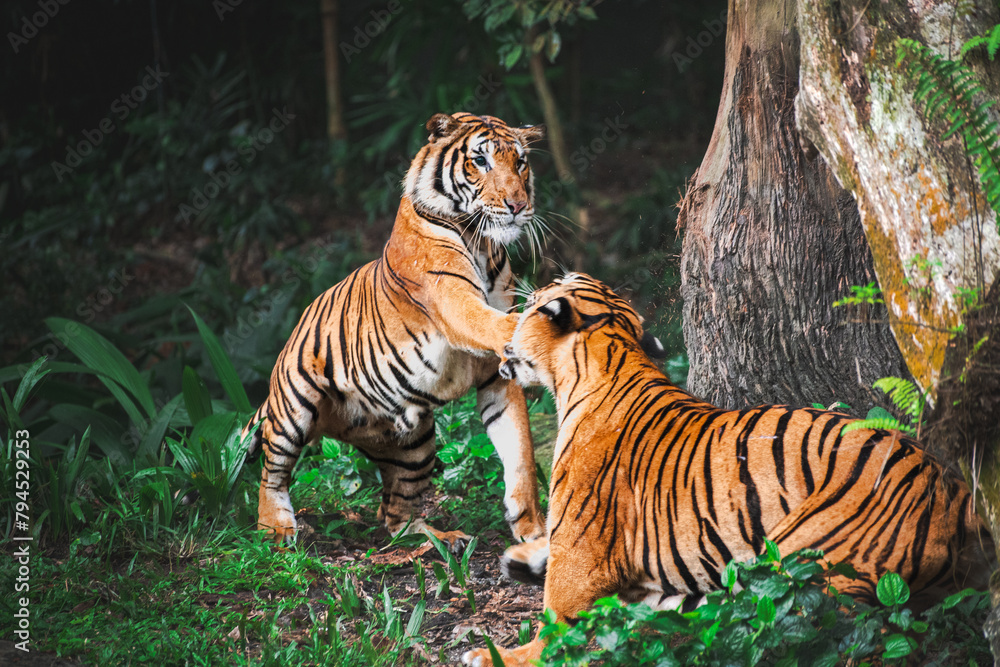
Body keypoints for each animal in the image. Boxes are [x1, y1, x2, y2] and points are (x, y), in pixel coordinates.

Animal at [246, 112, 548, 550]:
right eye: (480, 161)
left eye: (520, 163)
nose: (517, 205)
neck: (482, 243)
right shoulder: (452, 300)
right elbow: (488, 321)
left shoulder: (496, 378)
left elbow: (520, 452)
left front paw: (533, 531)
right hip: (294, 406)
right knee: (272, 471)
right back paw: (277, 530)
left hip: (415, 446)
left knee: (394, 517)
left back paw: (443, 539)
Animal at [462, 273, 993, 667]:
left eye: (535, 302)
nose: (514, 311)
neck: (606, 362)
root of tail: (954, 490)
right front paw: (523, 558)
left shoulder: (583, 556)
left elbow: (555, 623)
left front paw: (494, 655)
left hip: (805, 564)